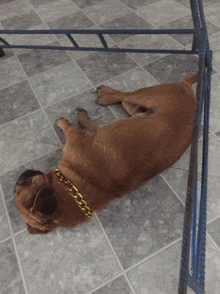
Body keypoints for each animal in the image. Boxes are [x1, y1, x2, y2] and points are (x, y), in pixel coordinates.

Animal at [15, 74, 198, 234]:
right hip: (133, 109)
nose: (21, 176)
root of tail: (189, 93)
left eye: (21, 185)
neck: (71, 184)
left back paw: (104, 95)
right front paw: (81, 116)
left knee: (125, 94)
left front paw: (63, 122)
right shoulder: (91, 133)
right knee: (123, 98)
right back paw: (105, 94)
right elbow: (87, 123)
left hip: (145, 96)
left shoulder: (75, 136)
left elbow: (68, 127)